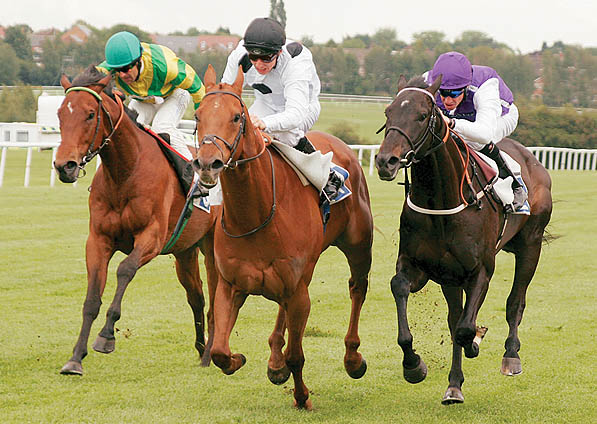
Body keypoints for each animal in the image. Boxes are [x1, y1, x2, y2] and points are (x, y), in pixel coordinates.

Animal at [54, 65, 219, 374]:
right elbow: (91, 298)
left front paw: (106, 336)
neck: (126, 172)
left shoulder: (151, 238)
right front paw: (75, 357)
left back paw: (211, 354)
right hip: (186, 251)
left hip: (214, 247)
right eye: (60, 114)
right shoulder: (98, 240)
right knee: (197, 296)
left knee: (217, 296)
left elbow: (125, 270)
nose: (64, 166)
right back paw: (202, 348)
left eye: (90, 114)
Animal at [192, 66, 372, 410]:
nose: (208, 164)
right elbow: (220, 352)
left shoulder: (298, 291)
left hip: (357, 246)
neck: (256, 215)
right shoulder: (231, 285)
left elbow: (297, 356)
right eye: (197, 115)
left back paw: (353, 358)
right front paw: (239, 358)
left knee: (358, 288)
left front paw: (302, 398)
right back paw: (275, 362)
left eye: (237, 116)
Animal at [374, 75, 552, 404]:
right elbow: (401, 291)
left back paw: (511, 355)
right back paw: (454, 384)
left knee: (515, 302)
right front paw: (413, 365)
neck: (441, 202)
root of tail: (532, 161)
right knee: (456, 316)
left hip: (531, 245)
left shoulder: (480, 271)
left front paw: (476, 340)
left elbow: (466, 328)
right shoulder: (422, 267)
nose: (385, 161)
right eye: (388, 113)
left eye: (422, 115)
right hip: (451, 277)